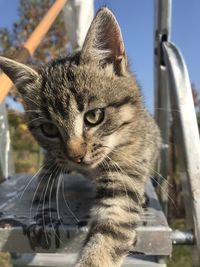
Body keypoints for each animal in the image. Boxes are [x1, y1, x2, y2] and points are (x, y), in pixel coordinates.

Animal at [0, 7, 160, 267]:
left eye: (94, 116)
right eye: (49, 129)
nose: (76, 156)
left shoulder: (126, 170)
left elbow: (112, 228)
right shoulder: (55, 154)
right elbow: (49, 166)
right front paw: (44, 191)